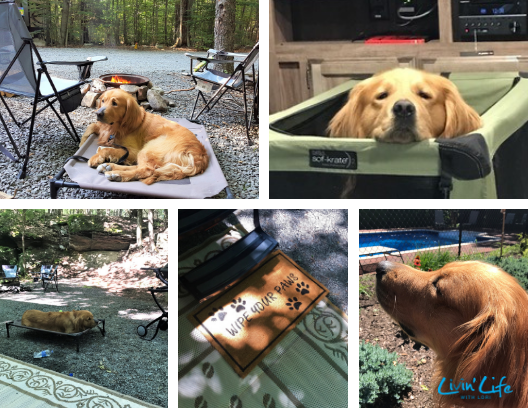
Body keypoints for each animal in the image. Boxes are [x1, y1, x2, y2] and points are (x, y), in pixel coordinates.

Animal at [80, 89, 208, 186]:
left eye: (115, 103)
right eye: (103, 100)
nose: (98, 113)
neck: (119, 126)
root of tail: (201, 155)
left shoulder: (133, 151)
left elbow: (108, 149)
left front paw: (96, 157)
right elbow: (92, 126)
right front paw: (82, 143)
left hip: (148, 148)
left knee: (147, 170)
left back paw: (117, 174)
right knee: (143, 167)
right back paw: (109, 167)